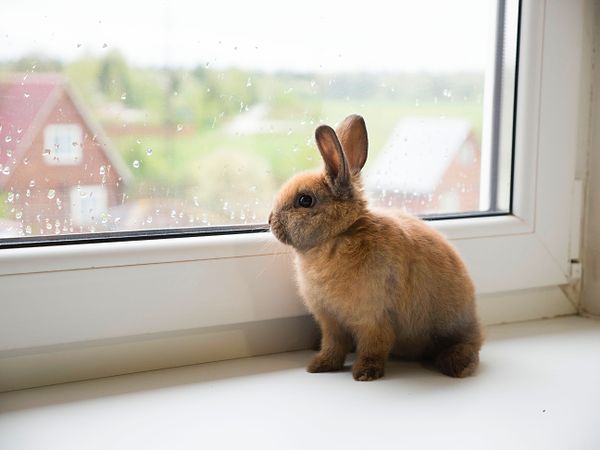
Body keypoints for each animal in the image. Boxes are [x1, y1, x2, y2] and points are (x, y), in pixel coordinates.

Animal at [270, 114, 486, 382]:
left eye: (305, 200)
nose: (270, 221)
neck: (340, 234)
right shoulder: (331, 322)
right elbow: (333, 345)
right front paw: (319, 365)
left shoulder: (373, 318)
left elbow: (374, 346)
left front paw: (365, 373)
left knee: (469, 345)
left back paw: (458, 365)